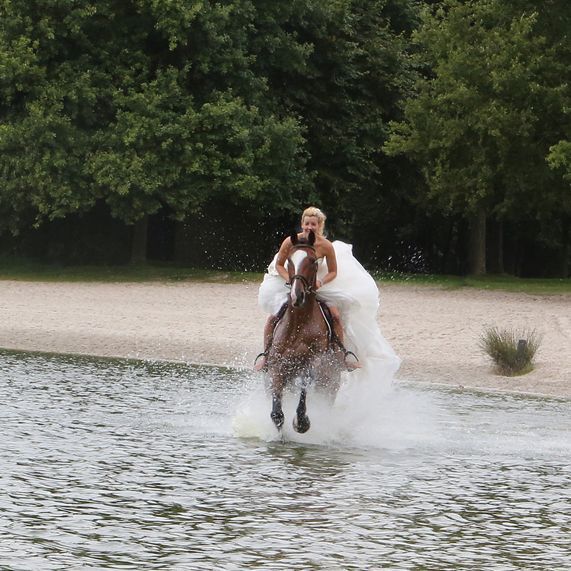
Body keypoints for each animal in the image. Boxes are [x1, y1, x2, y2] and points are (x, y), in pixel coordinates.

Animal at [266, 230, 342, 432]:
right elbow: (277, 414)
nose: (296, 296)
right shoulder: (278, 365)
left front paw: (302, 422)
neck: (299, 323)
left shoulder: (312, 364)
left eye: (313, 261)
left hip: (331, 382)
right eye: (289, 261)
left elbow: (305, 387)